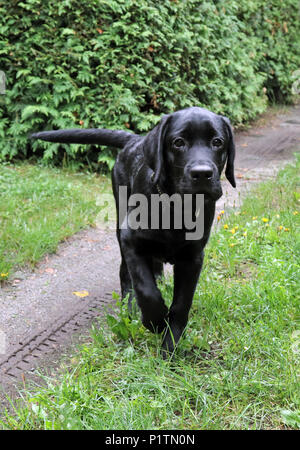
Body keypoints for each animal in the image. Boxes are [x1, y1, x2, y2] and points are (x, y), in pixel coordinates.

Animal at [31, 107, 237, 356]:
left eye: (217, 142)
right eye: (178, 142)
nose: (202, 173)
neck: (174, 207)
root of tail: (134, 140)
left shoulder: (193, 256)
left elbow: (181, 304)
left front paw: (170, 345)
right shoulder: (131, 241)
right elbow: (145, 289)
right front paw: (155, 321)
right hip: (120, 222)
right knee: (125, 275)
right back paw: (129, 309)